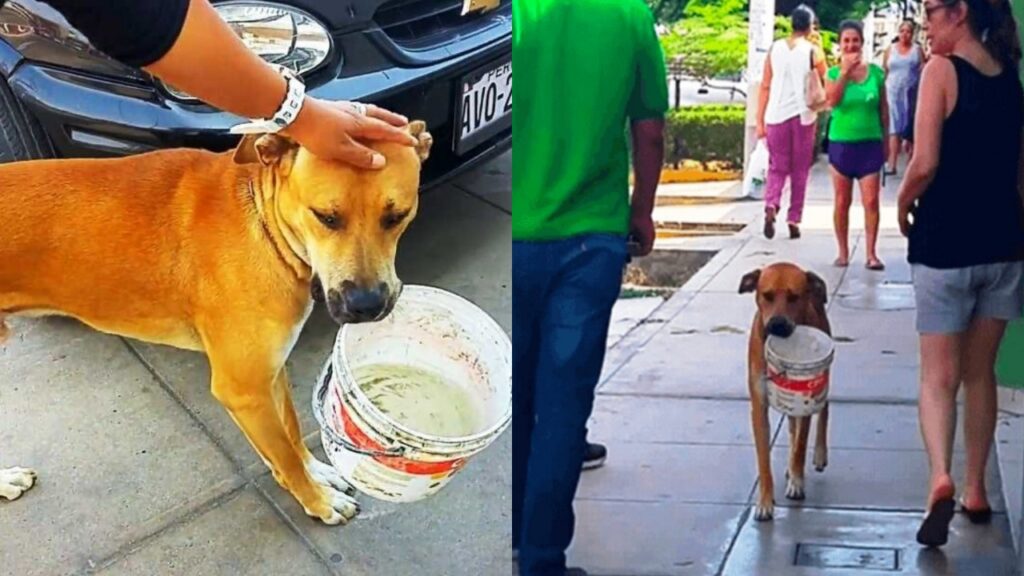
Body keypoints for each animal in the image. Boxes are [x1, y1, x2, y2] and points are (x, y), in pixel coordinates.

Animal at [0, 118, 432, 522]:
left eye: (397, 216)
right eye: (326, 217)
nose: (367, 304)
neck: (264, 224)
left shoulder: (270, 371)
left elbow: (291, 431)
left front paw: (316, 473)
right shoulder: (243, 390)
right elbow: (284, 457)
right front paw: (317, 502)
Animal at [745, 261, 831, 520]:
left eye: (794, 297)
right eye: (767, 295)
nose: (777, 324)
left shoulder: (806, 399)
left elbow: (802, 443)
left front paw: (797, 481)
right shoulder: (759, 407)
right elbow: (764, 457)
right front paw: (765, 501)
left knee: (824, 409)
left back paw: (818, 454)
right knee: (793, 426)